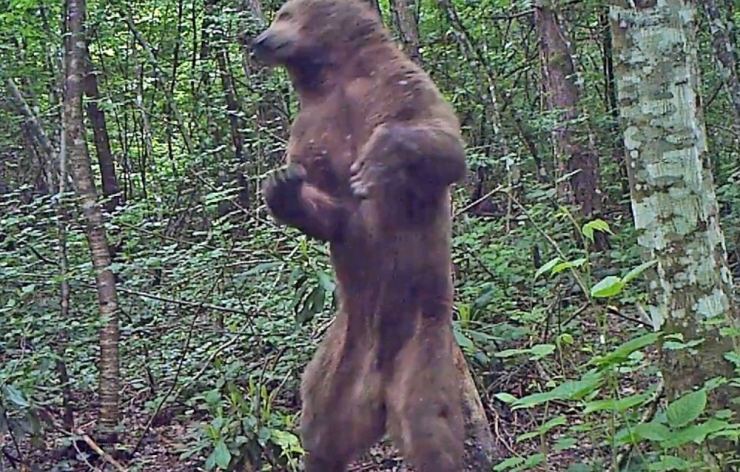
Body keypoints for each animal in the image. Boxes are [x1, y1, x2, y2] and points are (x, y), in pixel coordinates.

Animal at [251, 1, 486, 470]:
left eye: (283, 14)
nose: (260, 40)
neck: (334, 75)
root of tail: (378, 396)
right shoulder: (311, 125)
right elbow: (332, 211)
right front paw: (283, 186)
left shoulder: (403, 83)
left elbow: (447, 146)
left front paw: (380, 158)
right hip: (338, 360)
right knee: (319, 430)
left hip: (424, 354)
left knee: (432, 429)